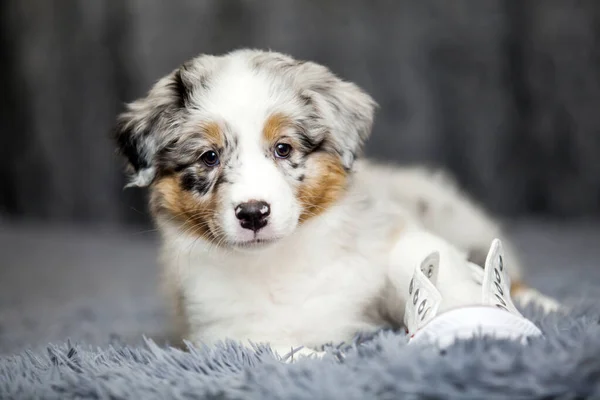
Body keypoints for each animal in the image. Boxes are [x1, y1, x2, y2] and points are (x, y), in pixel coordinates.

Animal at [116, 48, 556, 358]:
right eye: (209, 157)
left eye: (283, 148)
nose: (253, 213)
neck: (280, 260)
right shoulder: (211, 325)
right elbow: (256, 346)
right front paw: (312, 358)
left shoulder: (387, 235)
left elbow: (417, 254)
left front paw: (470, 319)